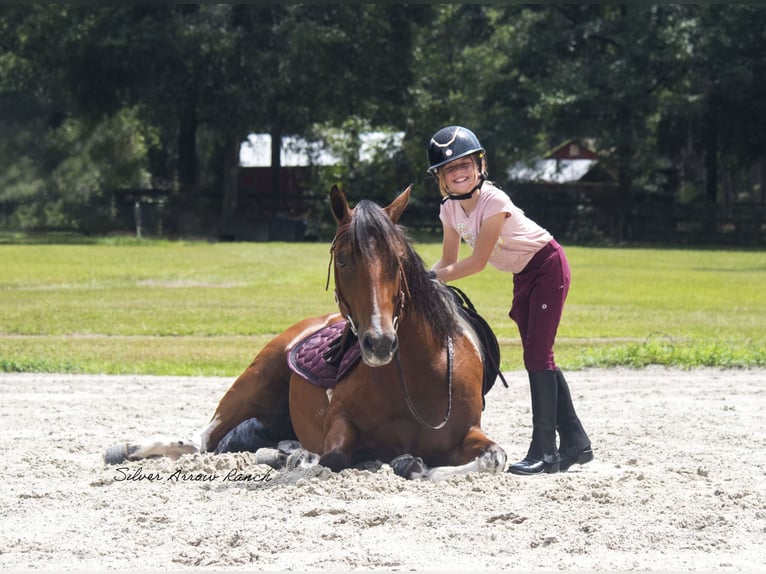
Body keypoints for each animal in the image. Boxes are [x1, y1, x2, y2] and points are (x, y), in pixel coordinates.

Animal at [103, 186, 510, 482]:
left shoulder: (469, 432)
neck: (420, 376)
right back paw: (128, 448)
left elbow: (494, 458)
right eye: (343, 260)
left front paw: (412, 464)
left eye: (398, 262)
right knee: (200, 440)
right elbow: (333, 457)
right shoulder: (339, 424)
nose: (379, 343)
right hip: (255, 380)